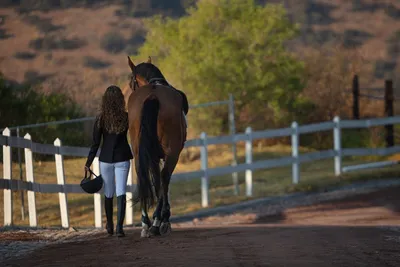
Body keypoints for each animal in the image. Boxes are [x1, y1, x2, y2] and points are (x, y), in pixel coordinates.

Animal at [126, 56, 188, 239]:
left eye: (131, 82)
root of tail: (153, 96)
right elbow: (162, 182)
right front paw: (162, 218)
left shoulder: (150, 155)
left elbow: (155, 181)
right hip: (172, 153)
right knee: (165, 175)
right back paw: (158, 222)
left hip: (139, 152)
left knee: (143, 175)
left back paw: (146, 223)